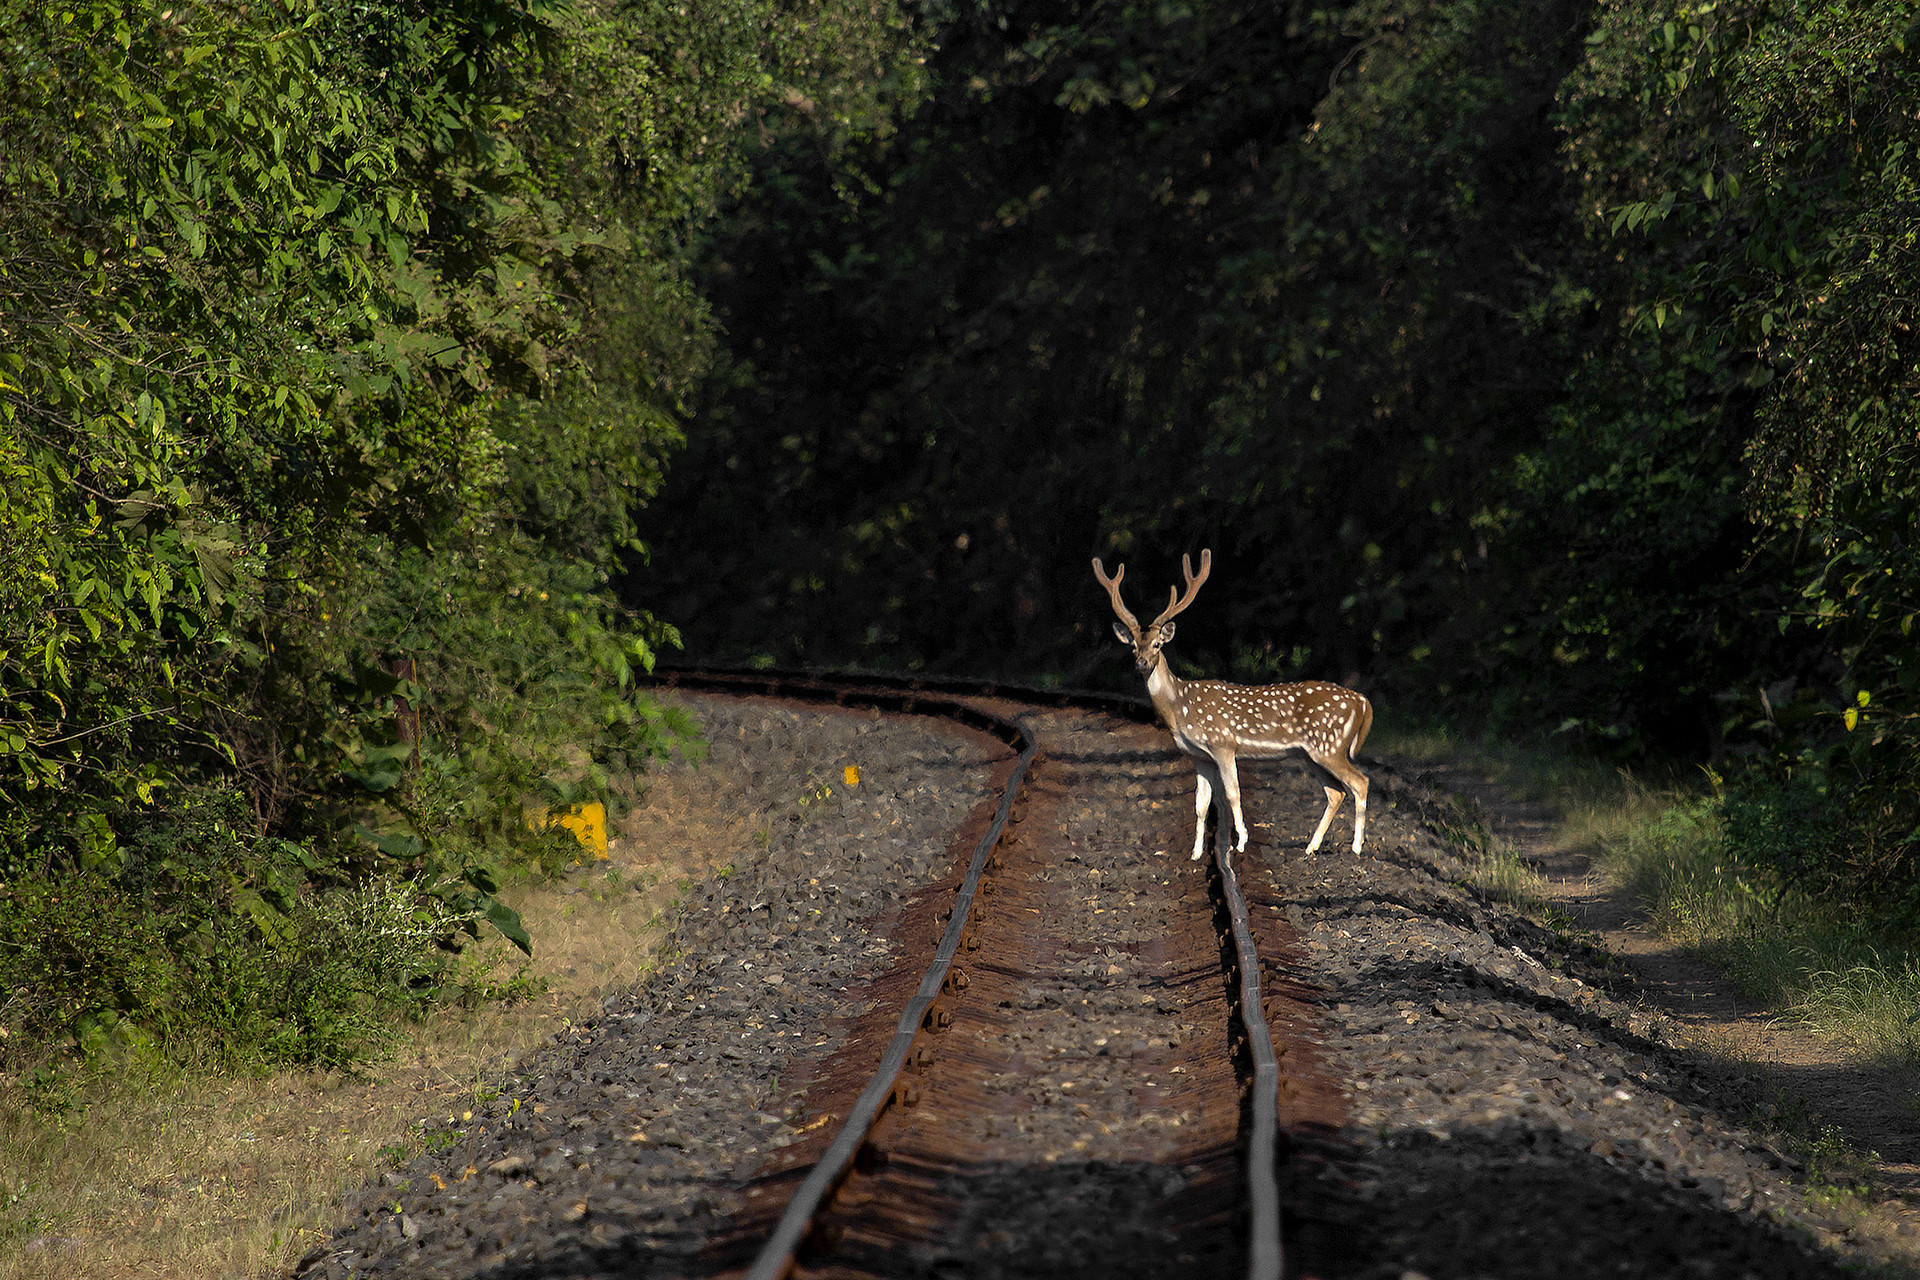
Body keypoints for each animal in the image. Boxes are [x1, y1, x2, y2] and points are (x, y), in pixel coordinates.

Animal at [1093, 549, 1372, 861]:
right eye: (1132, 646)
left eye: (1157, 644)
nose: (1141, 662)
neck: (1179, 707)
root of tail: (1363, 702)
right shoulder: (1198, 756)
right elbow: (1201, 804)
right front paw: (1195, 854)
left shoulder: (1223, 743)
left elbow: (1232, 794)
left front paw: (1240, 843)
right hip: (1310, 753)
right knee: (1336, 791)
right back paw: (1311, 847)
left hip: (1329, 745)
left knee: (1360, 782)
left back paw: (1356, 847)